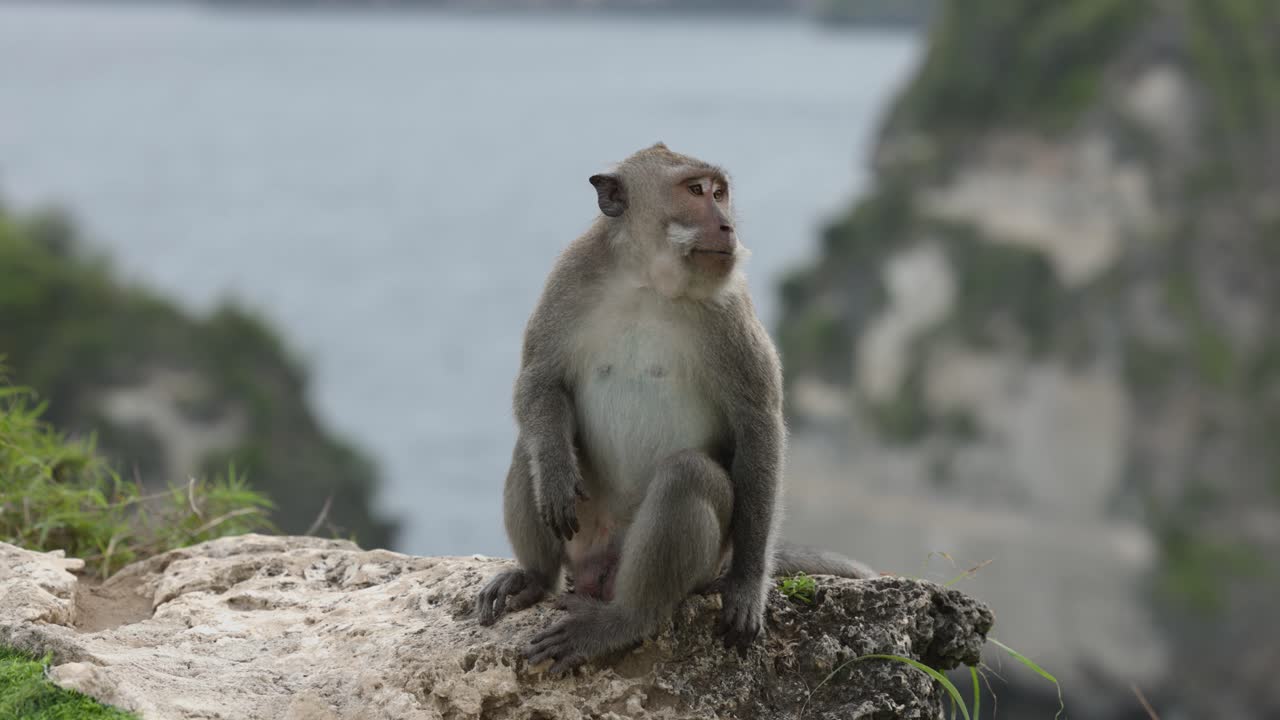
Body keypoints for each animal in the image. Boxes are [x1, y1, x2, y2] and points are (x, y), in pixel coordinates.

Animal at [474, 143, 875, 675]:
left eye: (719, 192)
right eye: (695, 190)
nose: (726, 225)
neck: (649, 280)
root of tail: (600, 573)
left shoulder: (730, 308)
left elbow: (756, 424)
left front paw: (747, 585)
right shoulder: (570, 276)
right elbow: (540, 381)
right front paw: (556, 471)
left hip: (696, 561)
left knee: (688, 476)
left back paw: (624, 619)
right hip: (583, 539)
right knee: (532, 446)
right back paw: (535, 577)